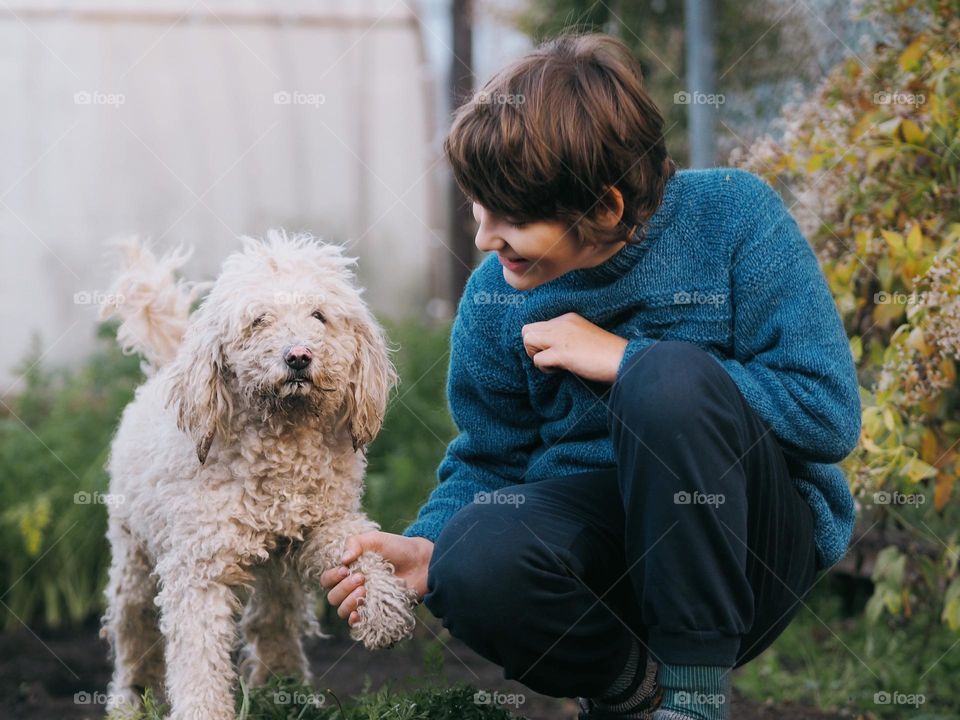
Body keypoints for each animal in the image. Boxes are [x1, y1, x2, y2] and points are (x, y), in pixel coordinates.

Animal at [97, 232, 420, 720]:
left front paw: (381, 609)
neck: (281, 445)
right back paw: (131, 698)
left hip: (275, 574)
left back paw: (283, 689)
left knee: (273, 621)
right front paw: (202, 710)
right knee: (133, 624)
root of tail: (165, 368)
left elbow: (360, 550)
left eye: (319, 315)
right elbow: (199, 657)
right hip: (133, 550)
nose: (299, 356)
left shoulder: (324, 524)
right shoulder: (199, 568)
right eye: (258, 320)